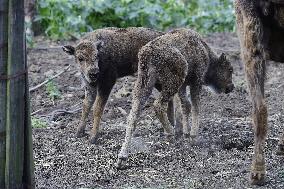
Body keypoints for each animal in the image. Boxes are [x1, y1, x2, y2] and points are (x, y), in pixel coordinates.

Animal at [116, 28, 234, 167]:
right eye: (230, 69)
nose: (231, 87)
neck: (206, 53)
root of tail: (147, 54)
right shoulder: (196, 81)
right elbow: (195, 106)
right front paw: (193, 136)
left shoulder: (183, 86)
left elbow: (186, 105)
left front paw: (186, 133)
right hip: (171, 83)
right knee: (158, 104)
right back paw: (170, 134)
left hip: (144, 83)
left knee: (133, 114)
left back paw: (122, 157)